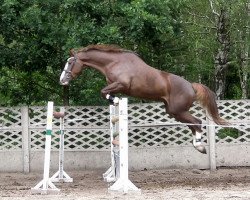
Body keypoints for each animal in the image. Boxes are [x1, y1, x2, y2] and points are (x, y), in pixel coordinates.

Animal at [59, 44, 228, 153]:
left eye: (70, 62)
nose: (62, 80)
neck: (114, 62)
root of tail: (191, 86)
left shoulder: (121, 84)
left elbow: (103, 91)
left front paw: (114, 100)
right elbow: (104, 91)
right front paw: (113, 100)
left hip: (178, 110)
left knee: (197, 122)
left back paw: (199, 146)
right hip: (174, 112)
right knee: (193, 124)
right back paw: (199, 146)